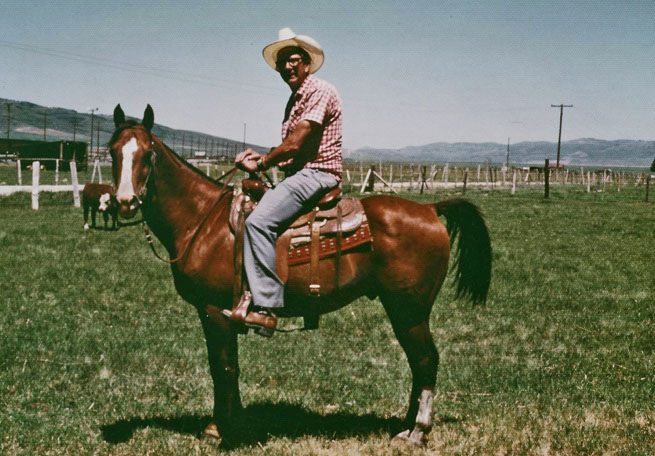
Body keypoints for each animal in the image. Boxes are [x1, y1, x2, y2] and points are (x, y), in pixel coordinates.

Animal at [109, 104, 492, 446]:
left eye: (147, 154)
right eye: (113, 152)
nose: (125, 201)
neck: (204, 220)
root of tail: (431, 209)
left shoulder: (214, 310)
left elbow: (222, 367)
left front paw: (222, 429)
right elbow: (230, 367)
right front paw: (228, 424)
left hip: (409, 308)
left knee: (425, 360)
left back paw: (417, 432)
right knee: (418, 362)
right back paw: (406, 426)